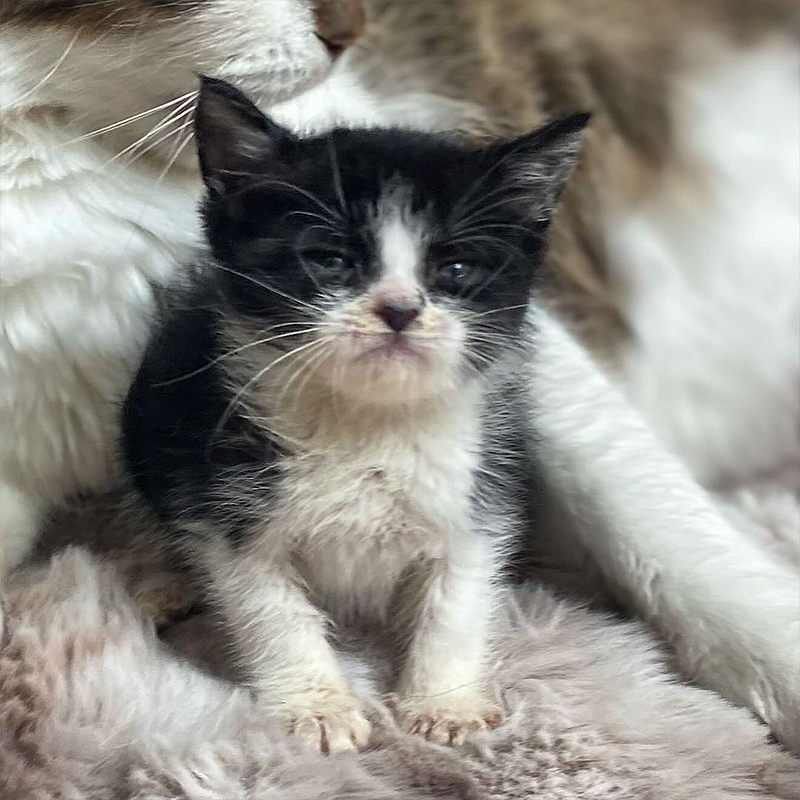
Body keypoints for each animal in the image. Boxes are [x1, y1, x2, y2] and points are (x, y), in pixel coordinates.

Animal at [125, 79, 588, 756]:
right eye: (330, 259)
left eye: (454, 269)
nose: (398, 309)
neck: (369, 421)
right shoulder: (226, 494)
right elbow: (269, 606)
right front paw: (317, 706)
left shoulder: (479, 488)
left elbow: (457, 597)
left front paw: (443, 702)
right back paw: (165, 577)